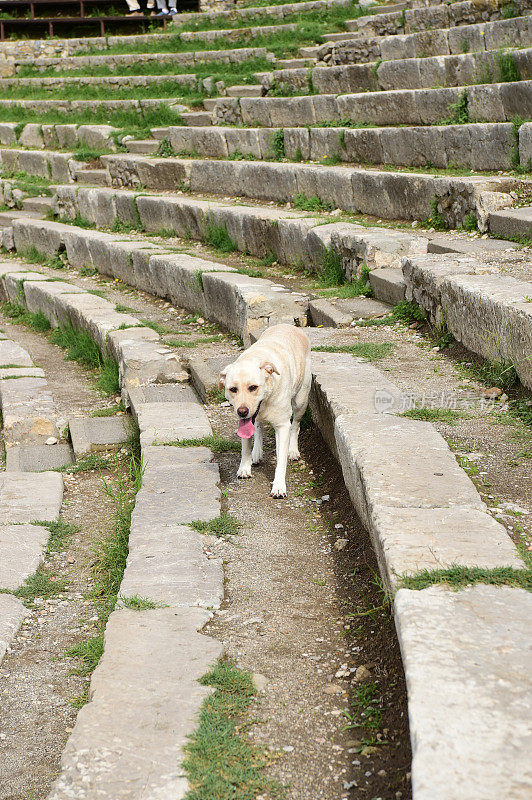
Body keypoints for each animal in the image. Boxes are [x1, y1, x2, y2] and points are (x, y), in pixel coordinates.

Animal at [219, 322, 312, 496]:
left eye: (253, 387)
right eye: (233, 389)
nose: (242, 411)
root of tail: (288, 324)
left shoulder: (282, 426)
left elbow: (281, 460)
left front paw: (279, 486)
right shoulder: (244, 422)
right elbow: (245, 446)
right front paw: (245, 467)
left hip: (301, 400)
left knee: (296, 425)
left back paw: (293, 450)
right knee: (258, 426)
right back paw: (256, 452)